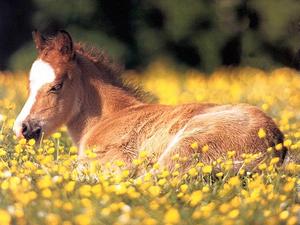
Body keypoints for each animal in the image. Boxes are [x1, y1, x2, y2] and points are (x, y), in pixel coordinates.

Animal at [13, 30, 286, 171]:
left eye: (56, 86)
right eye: (29, 84)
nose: (22, 128)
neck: (107, 117)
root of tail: (275, 144)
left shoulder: (114, 160)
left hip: (185, 146)